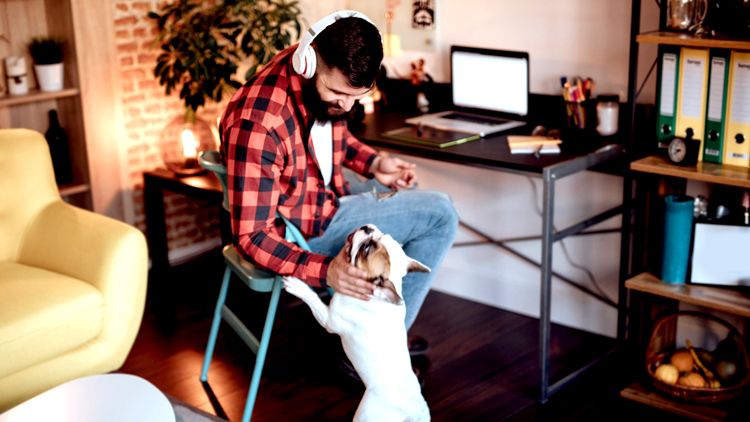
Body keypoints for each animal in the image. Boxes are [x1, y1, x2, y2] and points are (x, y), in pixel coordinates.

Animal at [284, 223, 432, 420]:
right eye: (382, 234)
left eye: (366, 249)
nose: (367, 228)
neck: (376, 296)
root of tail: (412, 411)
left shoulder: (329, 320)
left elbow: (314, 299)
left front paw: (299, 287)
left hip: (366, 415)